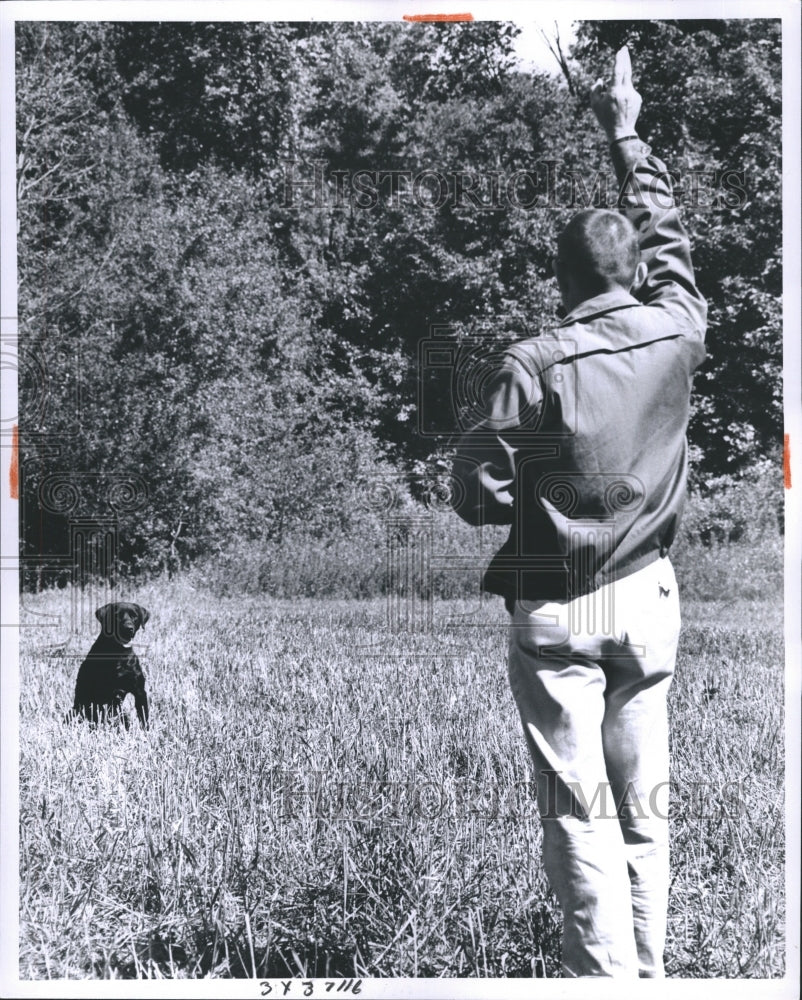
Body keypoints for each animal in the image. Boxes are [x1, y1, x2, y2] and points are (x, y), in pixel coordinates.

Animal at [66, 600, 151, 728]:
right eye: (117, 616)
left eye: (134, 616)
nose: (128, 628)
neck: (119, 654)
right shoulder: (101, 693)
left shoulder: (140, 691)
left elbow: (143, 716)